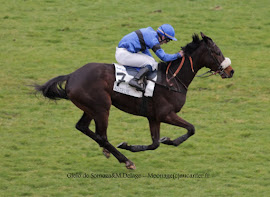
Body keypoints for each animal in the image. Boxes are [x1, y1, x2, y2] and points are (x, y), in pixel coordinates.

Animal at [34, 32, 234, 169]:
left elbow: (154, 143)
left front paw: (137, 144)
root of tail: (72, 76)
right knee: (102, 135)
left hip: (90, 108)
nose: (230, 71)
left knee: (83, 127)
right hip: (101, 108)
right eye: (217, 52)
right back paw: (126, 160)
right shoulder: (165, 114)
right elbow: (191, 129)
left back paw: (108, 151)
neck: (171, 79)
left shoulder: (153, 117)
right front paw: (168, 140)